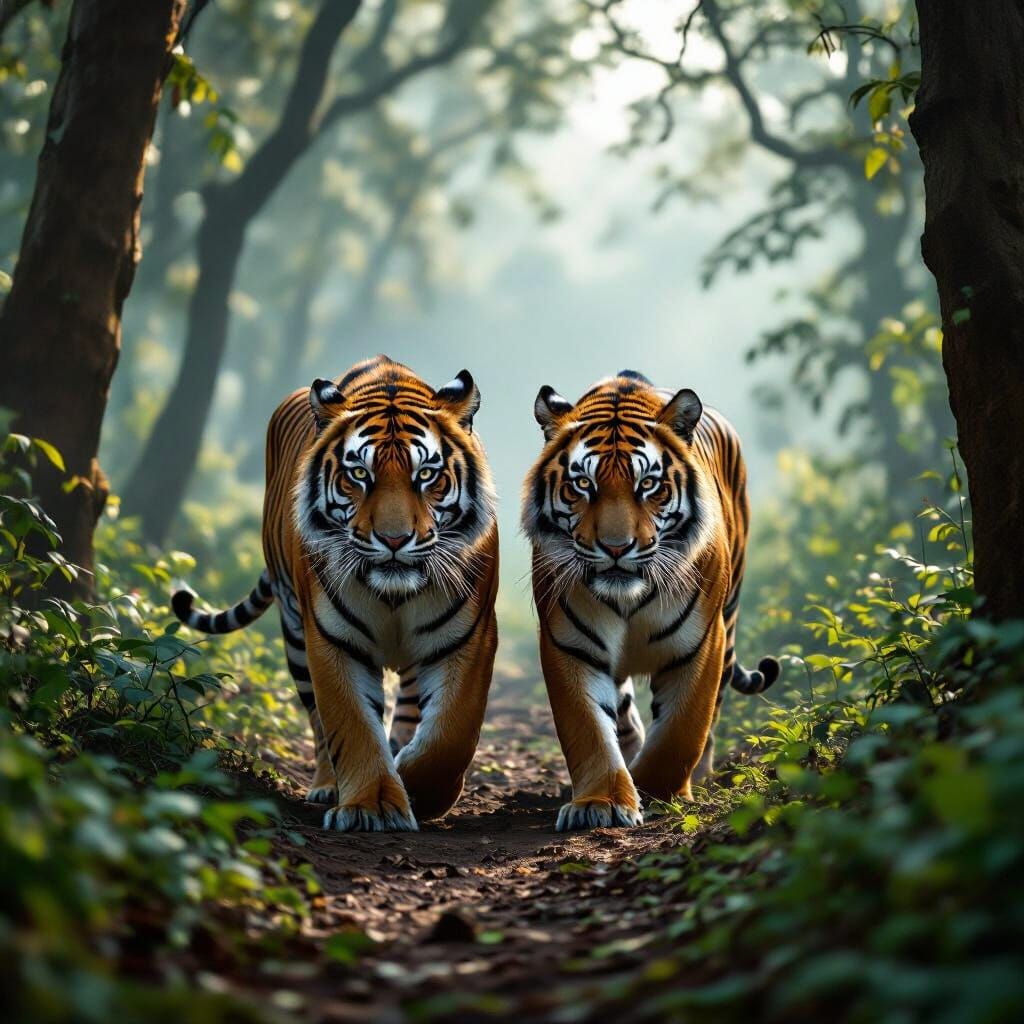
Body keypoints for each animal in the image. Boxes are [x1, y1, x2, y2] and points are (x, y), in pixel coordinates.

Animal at [172, 355, 499, 832]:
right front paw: (373, 806)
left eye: (426, 475)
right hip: (295, 636)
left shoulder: (468, 636)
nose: (394, 539)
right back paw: (330, 785)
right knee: (318, 722)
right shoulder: (332, 639)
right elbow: (352, 725)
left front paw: (420, 790)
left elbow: (451, 733)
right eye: (359, 474)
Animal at [522, 370, 779, 831]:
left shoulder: (702, 642)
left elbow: (681, 732)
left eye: (648, 485)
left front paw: (658, 793)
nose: (615, 547)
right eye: (583, 484)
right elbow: (588, 727)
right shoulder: (568, 643)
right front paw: (601, 802)